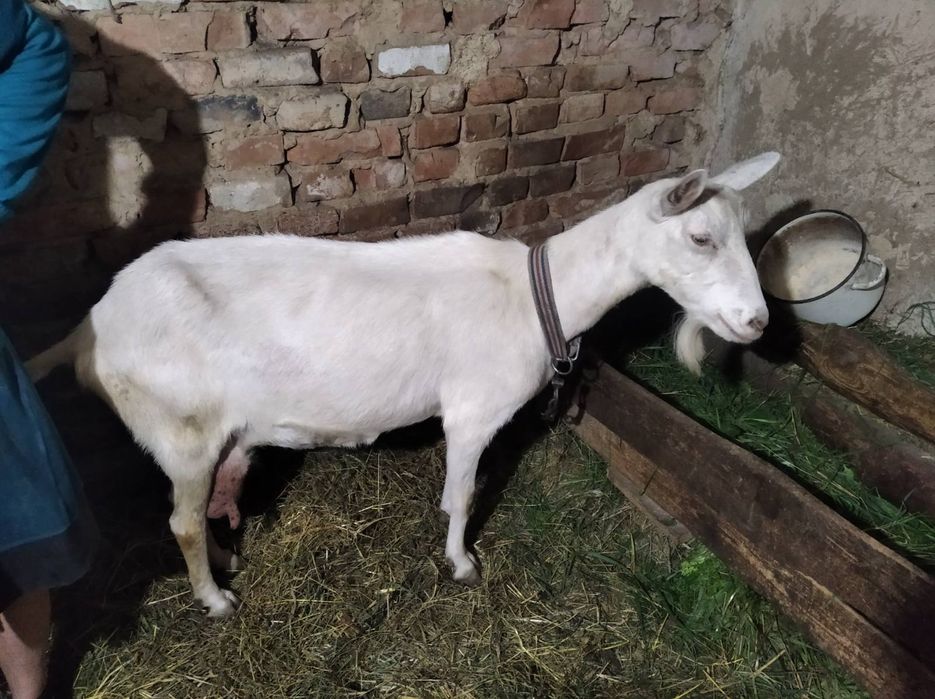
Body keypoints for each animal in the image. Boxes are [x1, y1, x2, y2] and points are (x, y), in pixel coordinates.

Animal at [27, 153, 779, 617]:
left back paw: (224, 561)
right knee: (180, 520)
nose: (757, 321)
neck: (538, 296)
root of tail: (89, 329)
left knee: (205, 506)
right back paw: (214, 600)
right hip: (178, 427)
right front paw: (462, 564)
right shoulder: (474, 411)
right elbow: (463, 493)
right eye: (701, 237)